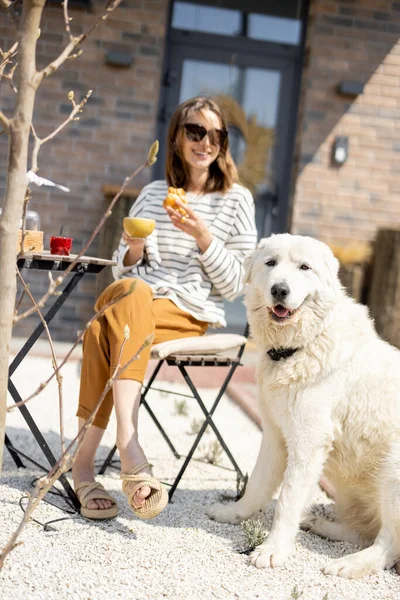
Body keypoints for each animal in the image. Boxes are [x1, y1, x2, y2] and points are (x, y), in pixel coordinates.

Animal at [206, 233, 400, 576]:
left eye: (304, 267)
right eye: (270, 263)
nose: (280, 290)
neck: (301, 346)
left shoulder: (308, 442)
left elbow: (287, 501)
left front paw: (272, 550)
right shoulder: (274, 435)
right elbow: (257, 484)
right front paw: (235, 513)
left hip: (393, 469)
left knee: (388, 546)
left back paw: (347, 564)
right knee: (365, 531)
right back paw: (322, 526)